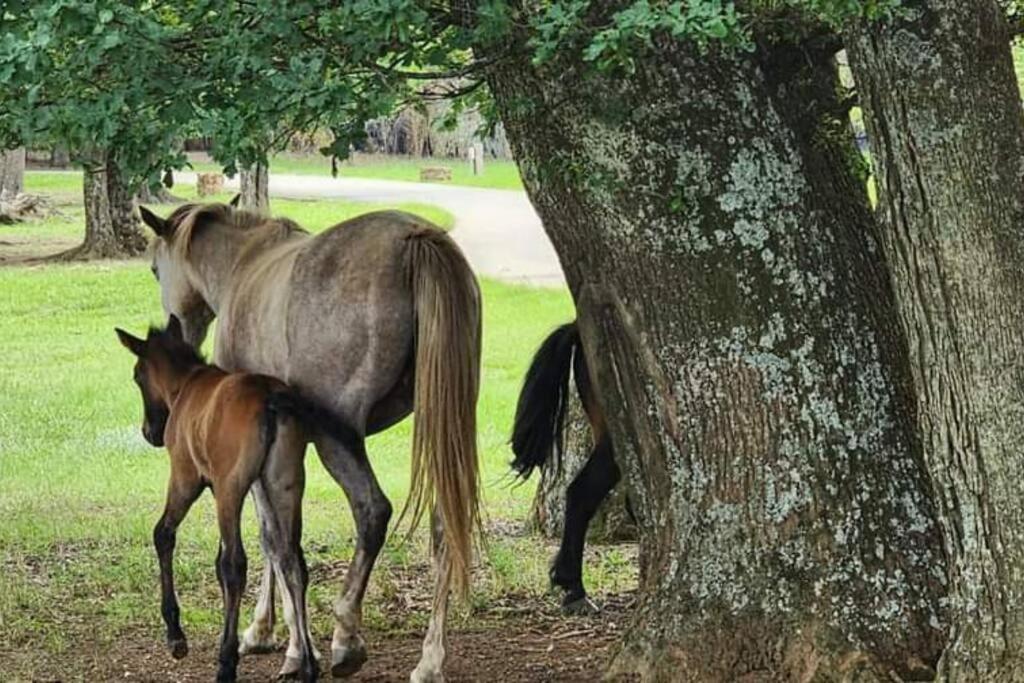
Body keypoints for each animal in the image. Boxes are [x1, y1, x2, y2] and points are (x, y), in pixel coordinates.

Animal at [116, 317, 356, 679]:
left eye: (136, 376)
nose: (150, 432)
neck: (185, 386)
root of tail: (272, 400)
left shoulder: (188, 478)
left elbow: (165, 535)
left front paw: (176, 636)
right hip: (285, 485)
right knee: (294, 560)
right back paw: (308, 665)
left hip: (231, 489)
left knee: (236, 563)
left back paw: (227, 662)